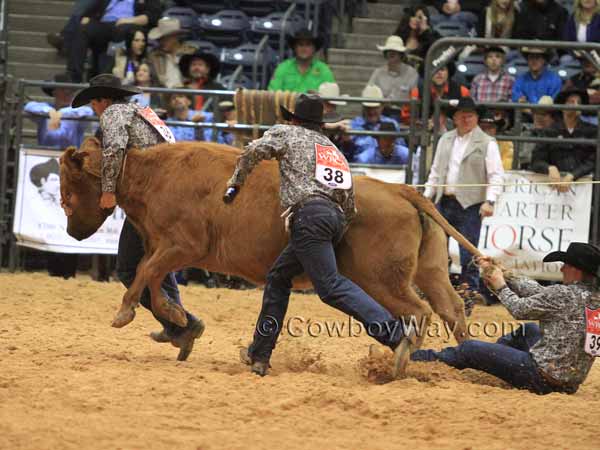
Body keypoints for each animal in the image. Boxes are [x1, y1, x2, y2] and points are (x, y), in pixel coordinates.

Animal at [59, 139, 482, 346]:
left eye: (67, 192)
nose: (72, 233)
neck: (153, 174)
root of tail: (400, 189)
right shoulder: (162, 246)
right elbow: (150, 276)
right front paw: (176, 317)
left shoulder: (185, 246)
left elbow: (146, 273)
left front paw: (128, 312)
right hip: (428, 270)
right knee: (450, 307)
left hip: (382, 279)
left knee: (419, 311)